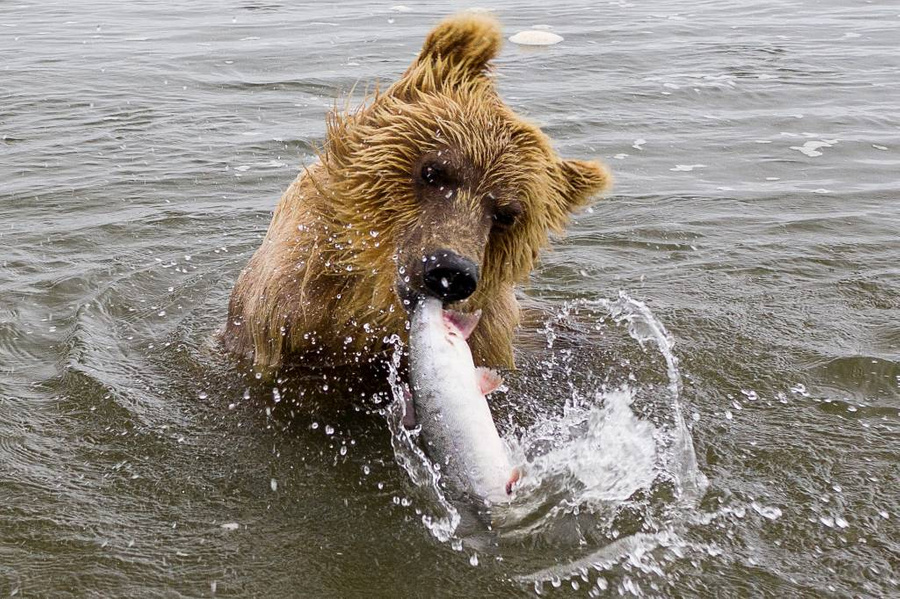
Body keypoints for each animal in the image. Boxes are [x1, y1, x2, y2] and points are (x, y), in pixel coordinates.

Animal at [227, 12, 612, 380]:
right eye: (433, 171)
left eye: (507, 213)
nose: (451, 270)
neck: (371, 312)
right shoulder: (289, 317)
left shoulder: (490, 338)